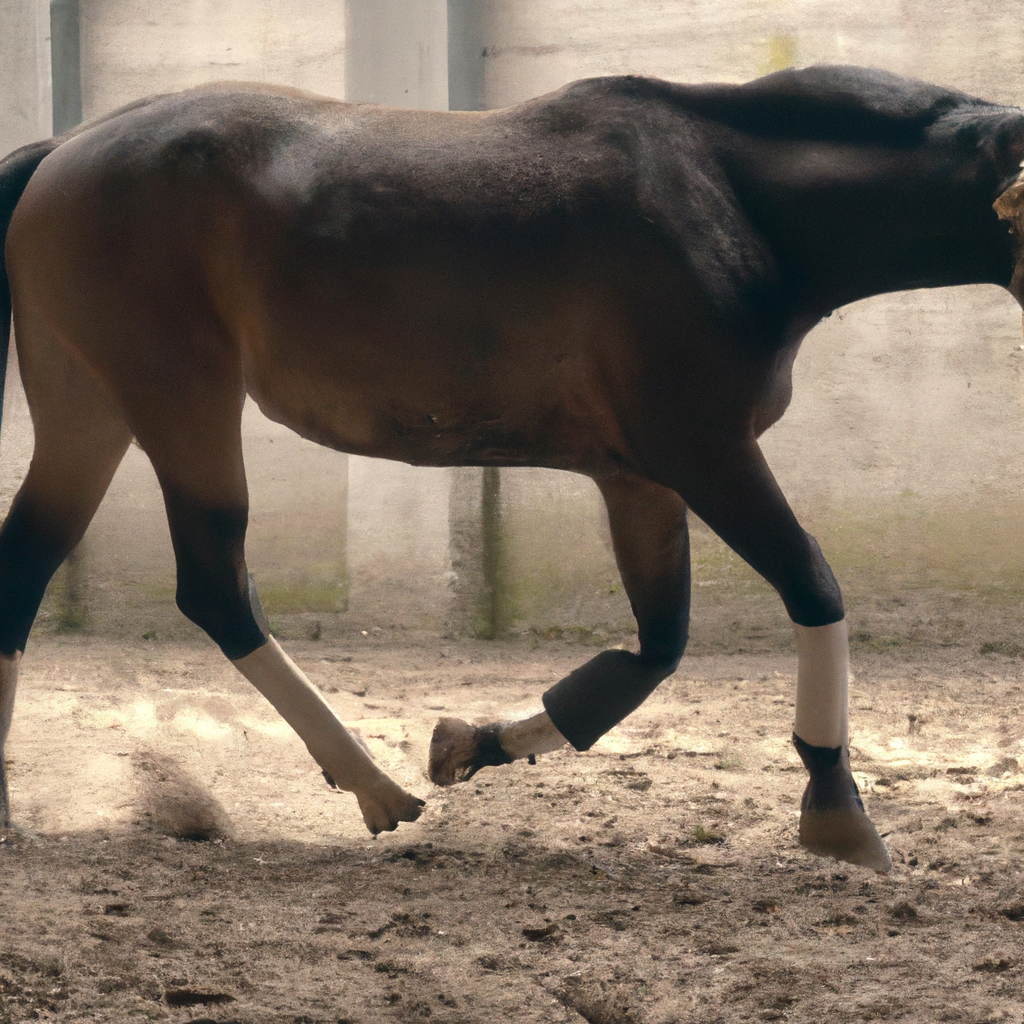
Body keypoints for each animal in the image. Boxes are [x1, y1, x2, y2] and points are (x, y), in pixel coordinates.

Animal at [2, 64, 1024, 868]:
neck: (729, 199)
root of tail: (63, 152)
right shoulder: (707, 451)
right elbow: (810, 585)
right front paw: (838, 814)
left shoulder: (641, 479)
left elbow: (654, 651)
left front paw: (471, 743)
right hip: (180, 399)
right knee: (214, 586)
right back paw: (376, 789)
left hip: (91, 408)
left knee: (28, 565)